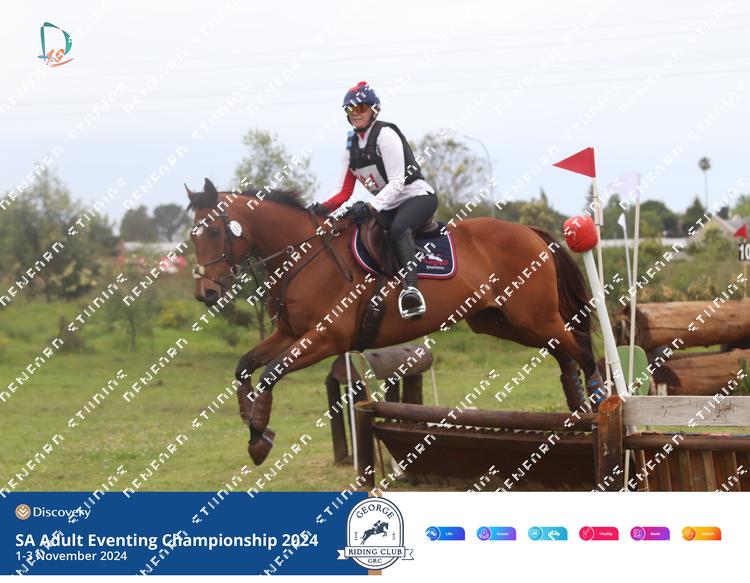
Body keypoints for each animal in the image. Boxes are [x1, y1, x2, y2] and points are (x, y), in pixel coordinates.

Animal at [186, 178, 603, 465]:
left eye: (214, 231)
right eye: (192, 237)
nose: (205, 292)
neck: (304, 257)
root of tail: (530, 232)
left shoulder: (325, 338)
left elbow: (271, 372)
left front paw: (259, 436)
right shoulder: (289, 332)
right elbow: (245, 365)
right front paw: (250, 419)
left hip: (533, 316)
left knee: (579, 344)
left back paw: (597, 401)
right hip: (500, 321)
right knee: (562, 351)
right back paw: (576, 408)